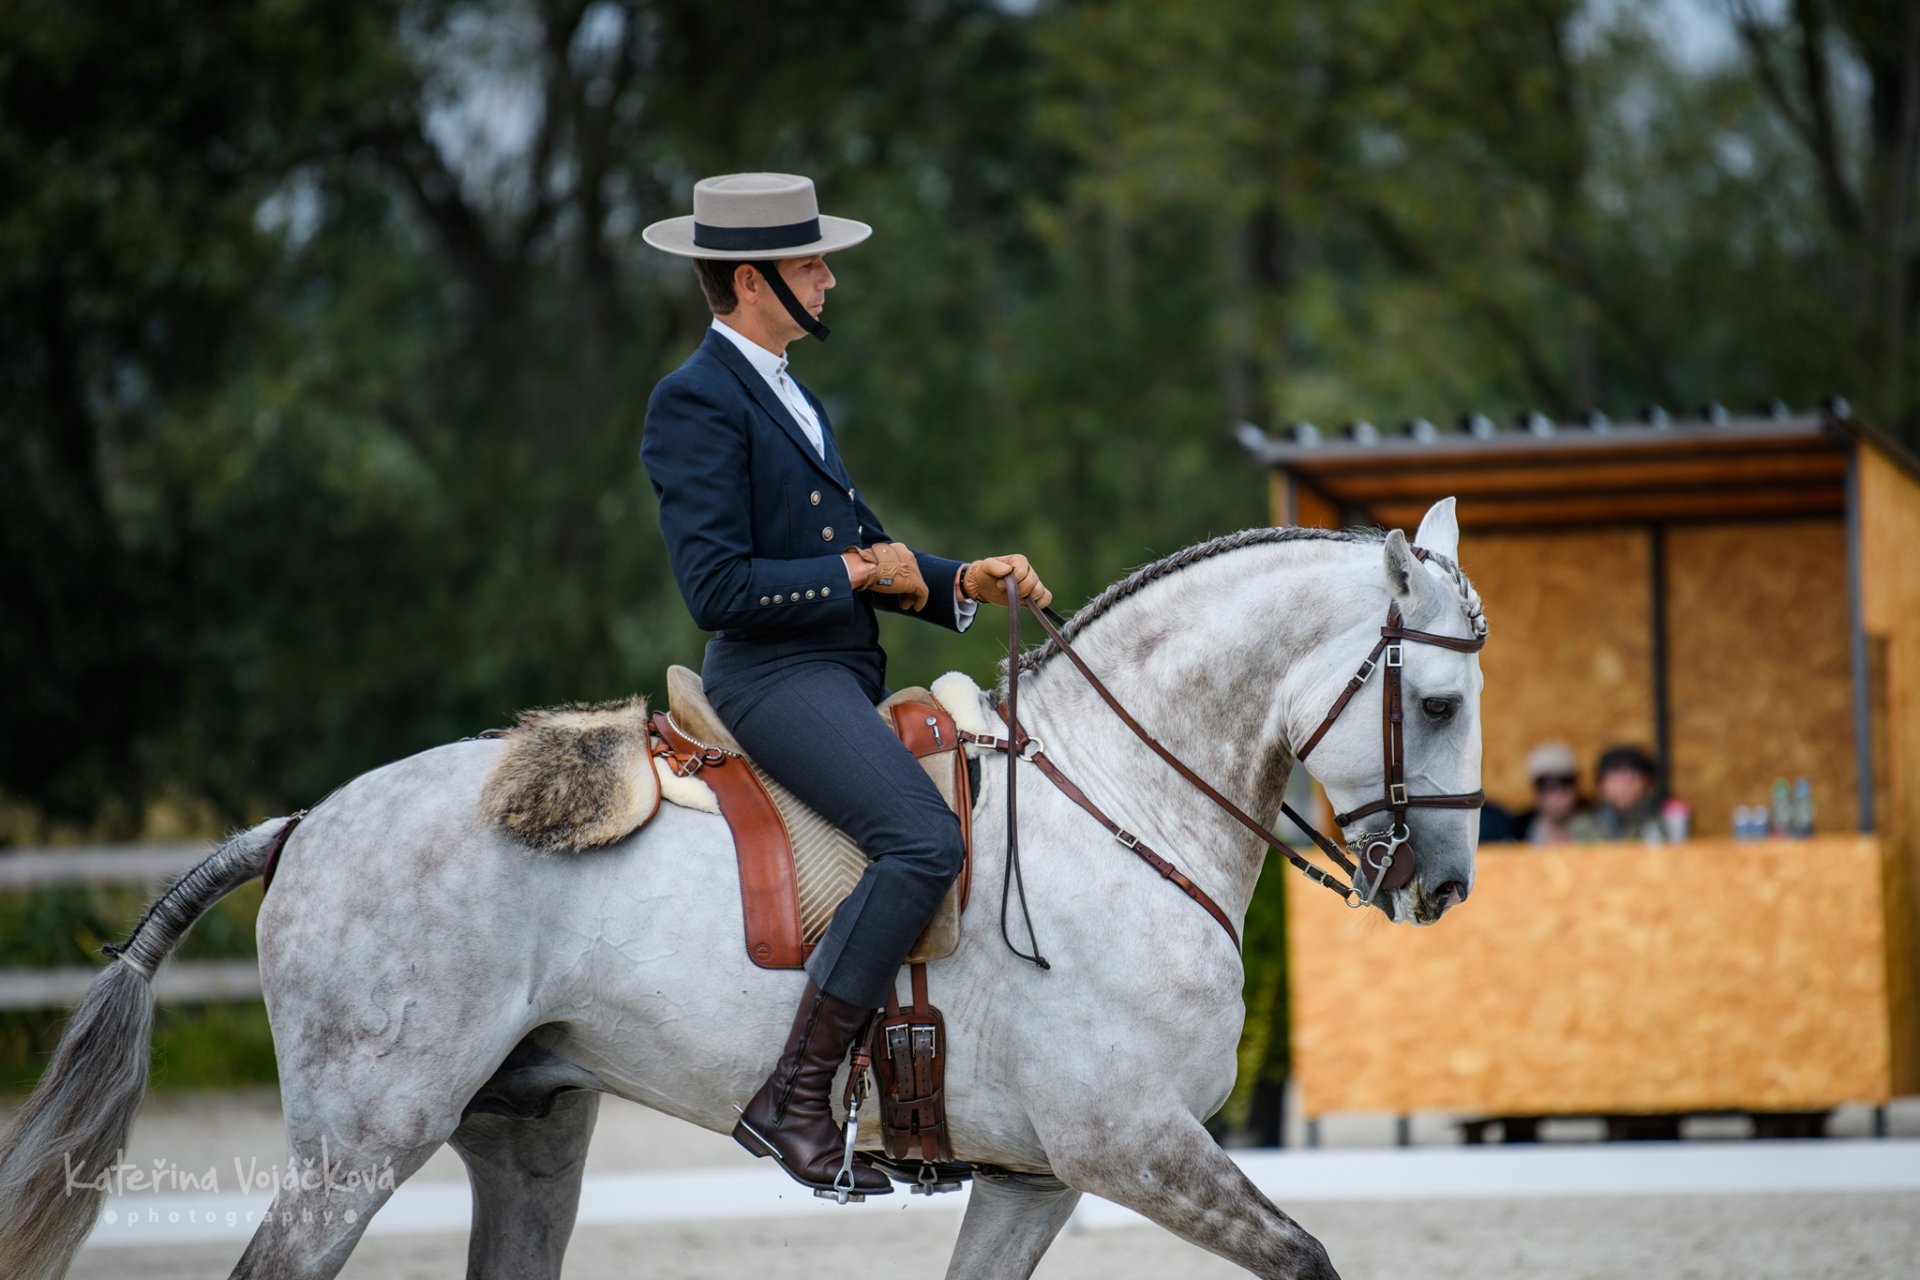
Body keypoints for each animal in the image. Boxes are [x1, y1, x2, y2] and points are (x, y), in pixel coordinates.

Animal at [0, 498, 1482, 1280]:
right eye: (1440, 700)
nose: (1449, 888)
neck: (1119, 803)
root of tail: (305, 822)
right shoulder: (1133, 1141)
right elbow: (1305, 1256)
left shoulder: (1034, 1175)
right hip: (364, 1136)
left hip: (531, 1128)